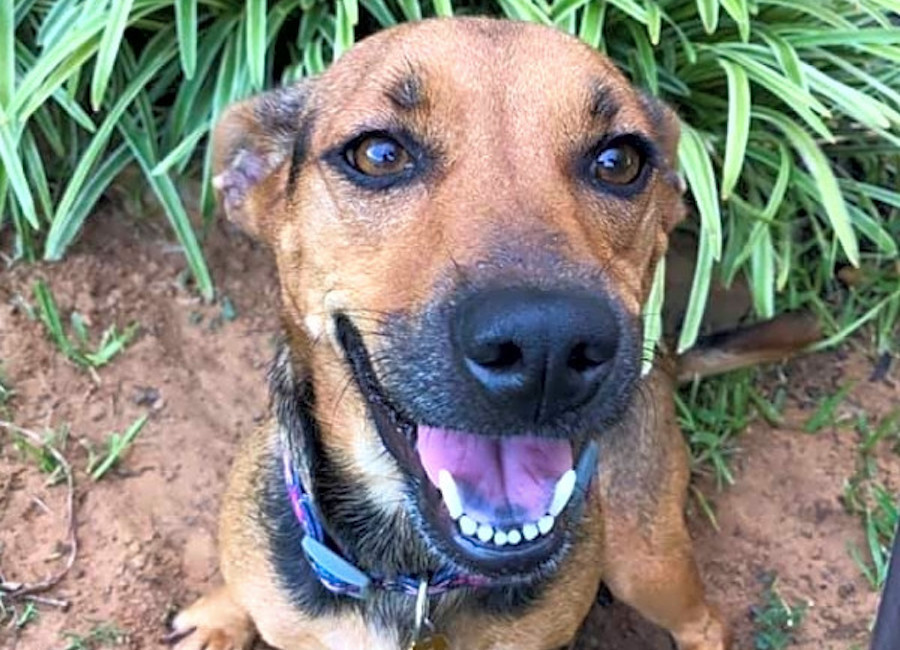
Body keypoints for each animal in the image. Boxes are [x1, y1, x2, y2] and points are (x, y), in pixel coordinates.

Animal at [165, 19, 820, 648]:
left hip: (645, 557)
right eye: (379, 154)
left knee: (704, 623)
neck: (412, 580)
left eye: (620, 161)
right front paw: (222, 614)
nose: (546, 346)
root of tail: (663, 364)